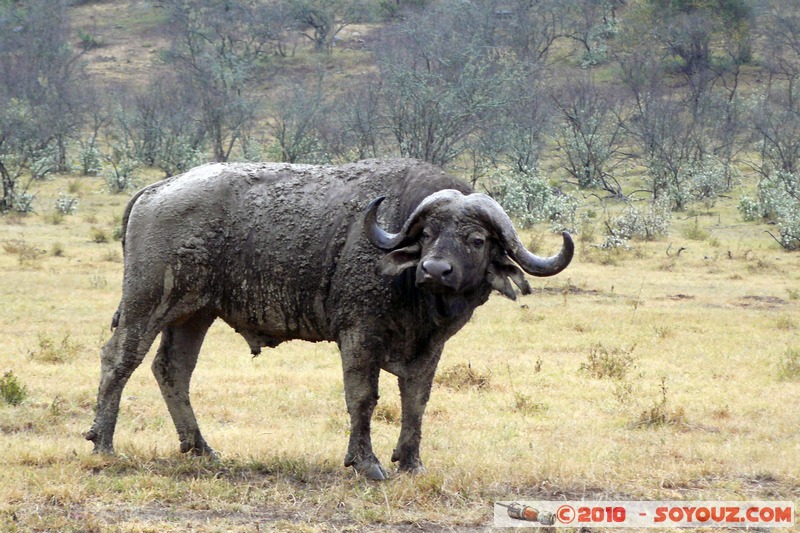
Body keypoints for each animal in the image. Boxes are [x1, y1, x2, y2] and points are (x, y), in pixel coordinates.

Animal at [86, 157, 576, 478]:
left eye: (476, 239)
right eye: (428, 234)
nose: (434, 270)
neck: (412, 294)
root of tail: (157, 190)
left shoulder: (430, 346)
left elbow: (416, 402)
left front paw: (411, 462)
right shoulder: (359, 335)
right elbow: (363, 398)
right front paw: (367, 462)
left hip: (194, 314)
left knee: (172, 369)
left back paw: (200, 448)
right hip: (148, 302)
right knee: (119, 360)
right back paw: (104, 443)